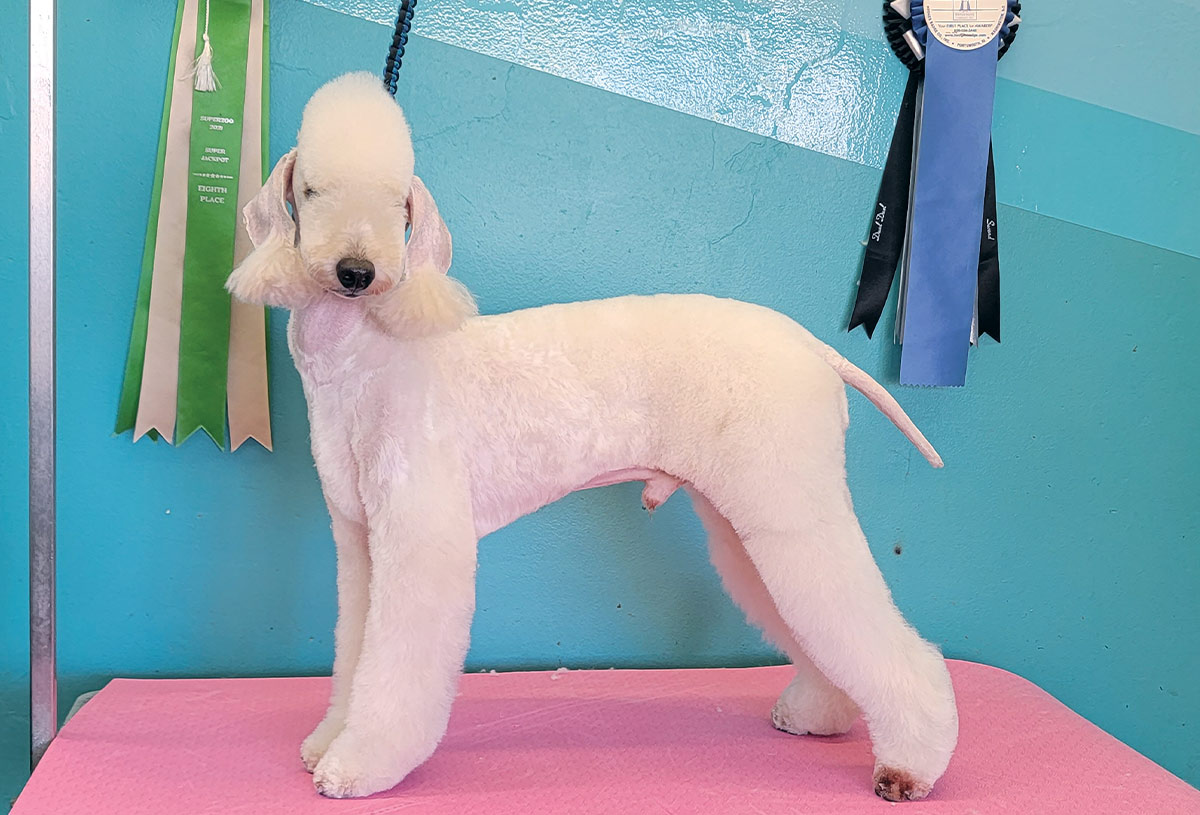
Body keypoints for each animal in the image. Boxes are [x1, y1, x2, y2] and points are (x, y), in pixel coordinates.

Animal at [225, 73, 955, 801]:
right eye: (311, 191)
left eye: (396, 201)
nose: (358, 272)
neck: (366, 357)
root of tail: (811, 347)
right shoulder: (360, 538)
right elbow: (356, 648)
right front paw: (328, 741)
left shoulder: (421, 533)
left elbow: (396, 660)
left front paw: (360, 763)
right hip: (748, 522)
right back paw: (820, 713)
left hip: (788, 503)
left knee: (882, 638)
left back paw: (909, 765)